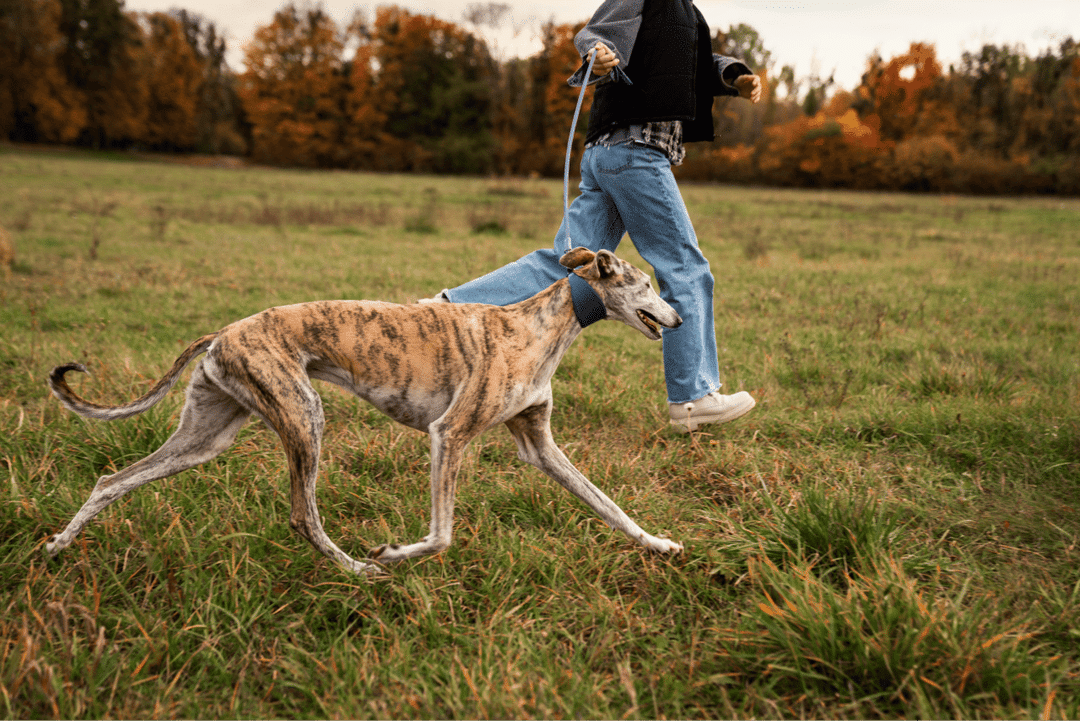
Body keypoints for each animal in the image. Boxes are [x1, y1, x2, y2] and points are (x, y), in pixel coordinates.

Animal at [48, 248, 682, 574]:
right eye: (647, 284)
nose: (677, 319)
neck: (537, 328)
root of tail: (221, 334)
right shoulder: (449, 434)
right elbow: (442, 535)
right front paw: (395, 551)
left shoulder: (539, 444)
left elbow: (607, 505)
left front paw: (658, 544)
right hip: (304, 415)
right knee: (303, 516)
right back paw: (357, 568)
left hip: (208, 435)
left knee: (112, 480)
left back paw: (57, 545)